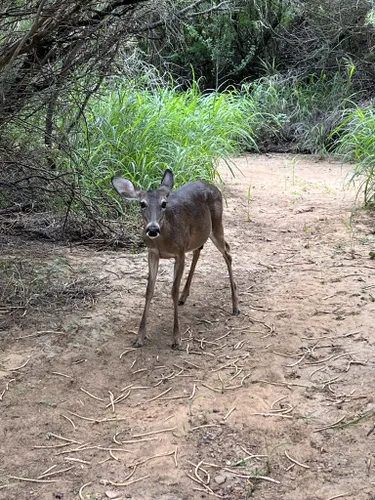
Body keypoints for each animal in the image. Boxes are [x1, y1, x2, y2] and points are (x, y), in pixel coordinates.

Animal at [113, 168, 239, 348]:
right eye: (142, 203)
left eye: (164, 203)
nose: (152, 229)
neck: (165, 239)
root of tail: (213, 187)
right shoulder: (153, 253)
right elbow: (149, 290)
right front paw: (139, 337)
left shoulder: (179, 252)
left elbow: (173, 290)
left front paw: (176, 338)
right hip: (199, 234)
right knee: (198, 251)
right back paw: (184, 297)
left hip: (216, 224)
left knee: (227, 253)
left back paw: (235, 306)